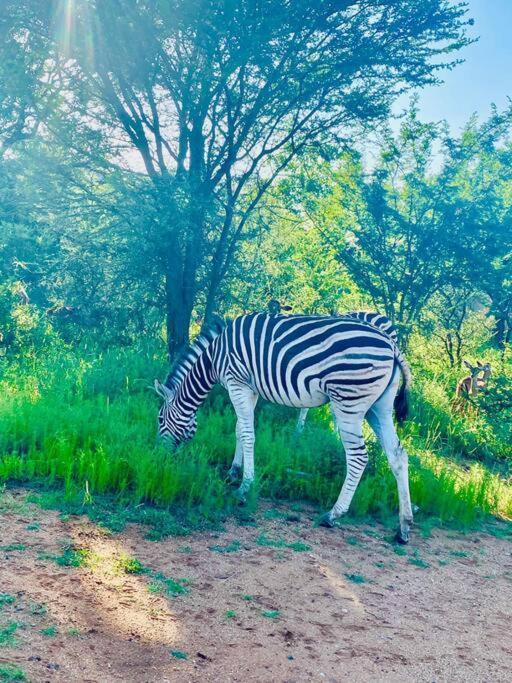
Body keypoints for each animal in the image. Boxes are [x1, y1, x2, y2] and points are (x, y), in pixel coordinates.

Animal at [154, 312, 414, 544]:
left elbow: (247, 433)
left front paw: (244, 487)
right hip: (379, 407)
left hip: (348, 402)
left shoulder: (237, 383)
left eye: (159, 420)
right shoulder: (250, 388)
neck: (213, 358)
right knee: (397, 455)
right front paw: (233, 472)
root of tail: (392, 345)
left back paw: (333, 514)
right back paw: (403, 527)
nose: (162, 456)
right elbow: (239, 428)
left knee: (358, 457)